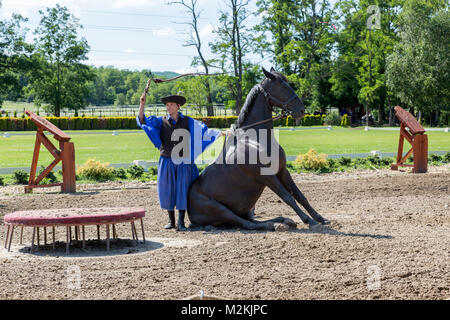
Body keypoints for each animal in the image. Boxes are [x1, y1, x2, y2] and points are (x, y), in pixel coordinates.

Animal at [186, 67, 330, 230]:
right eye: (282, 86)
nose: (301, 110)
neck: (255, 140)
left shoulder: (282, 171)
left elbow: (299, 195)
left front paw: (320, 218)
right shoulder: (267, 176)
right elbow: (288, 198)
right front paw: (310, 221)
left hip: (245, 210)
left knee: (253, 221)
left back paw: (284, 220)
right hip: (220, 209)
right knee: (247, 224)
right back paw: (275, 225)